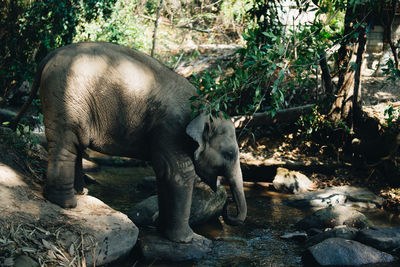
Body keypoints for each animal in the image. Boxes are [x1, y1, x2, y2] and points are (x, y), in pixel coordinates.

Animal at [12, 42, 247, 245]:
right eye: (229, 154)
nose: (228, 206)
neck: (203, 105)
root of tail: (50, 55)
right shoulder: (170, 129)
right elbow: (179, 173)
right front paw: (187, 239)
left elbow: (164, 174)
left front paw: (163, 231)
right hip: (66, 94)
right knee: (66, 143)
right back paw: (66, 203)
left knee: (75, 143)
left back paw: (81, 193)